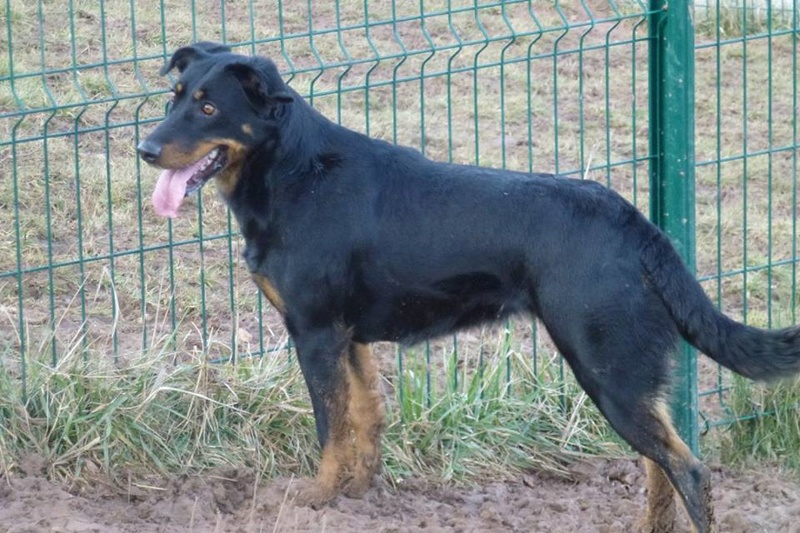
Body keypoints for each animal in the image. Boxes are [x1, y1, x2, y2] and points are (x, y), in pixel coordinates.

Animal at [139, 42, 800, 532]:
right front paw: (358, 494)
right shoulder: (350, 336)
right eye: (175, 97)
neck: (294, 172)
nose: (143, 148)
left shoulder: (315, 332)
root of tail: (637, 225)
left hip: (607, 369)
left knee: (688, 470)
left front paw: (317, 499)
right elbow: (365, 418)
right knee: (660, 465)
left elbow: (332, 426)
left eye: (208, 109)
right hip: (624, 377)